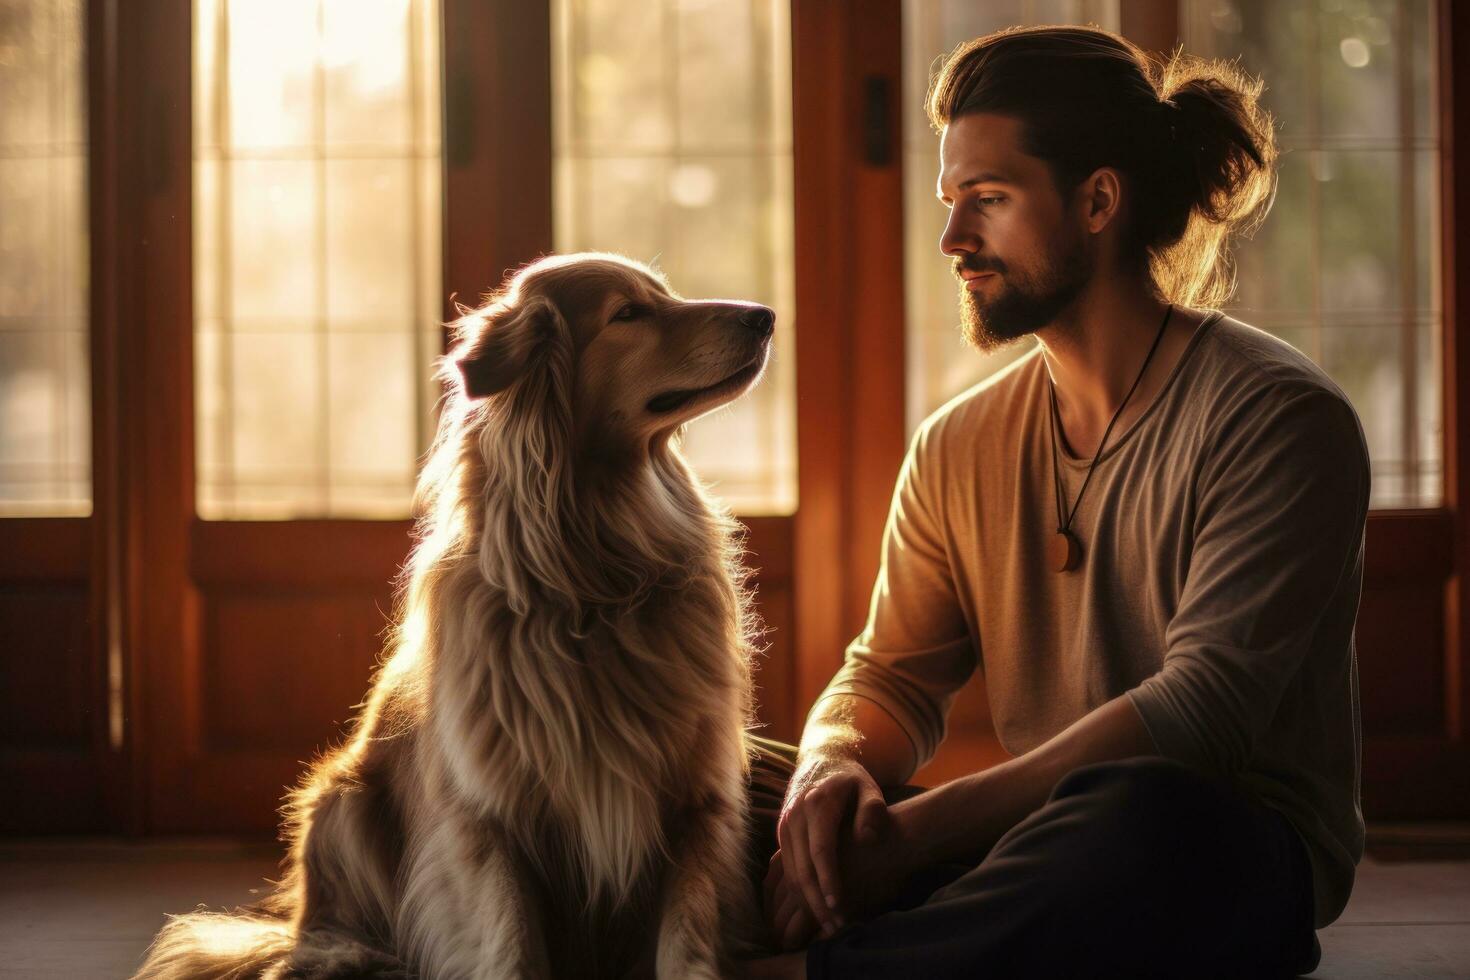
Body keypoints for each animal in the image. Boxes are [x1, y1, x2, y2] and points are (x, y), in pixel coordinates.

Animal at [136, 255, 776, 980]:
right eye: (629, 313)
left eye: (663, 296)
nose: (765, 317)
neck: (595, 583)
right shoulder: (488, 819)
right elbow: (511, 941)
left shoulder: (697, 804)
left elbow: (685, 942)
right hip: (341, 801)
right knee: (321, 931)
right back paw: (346, 954)